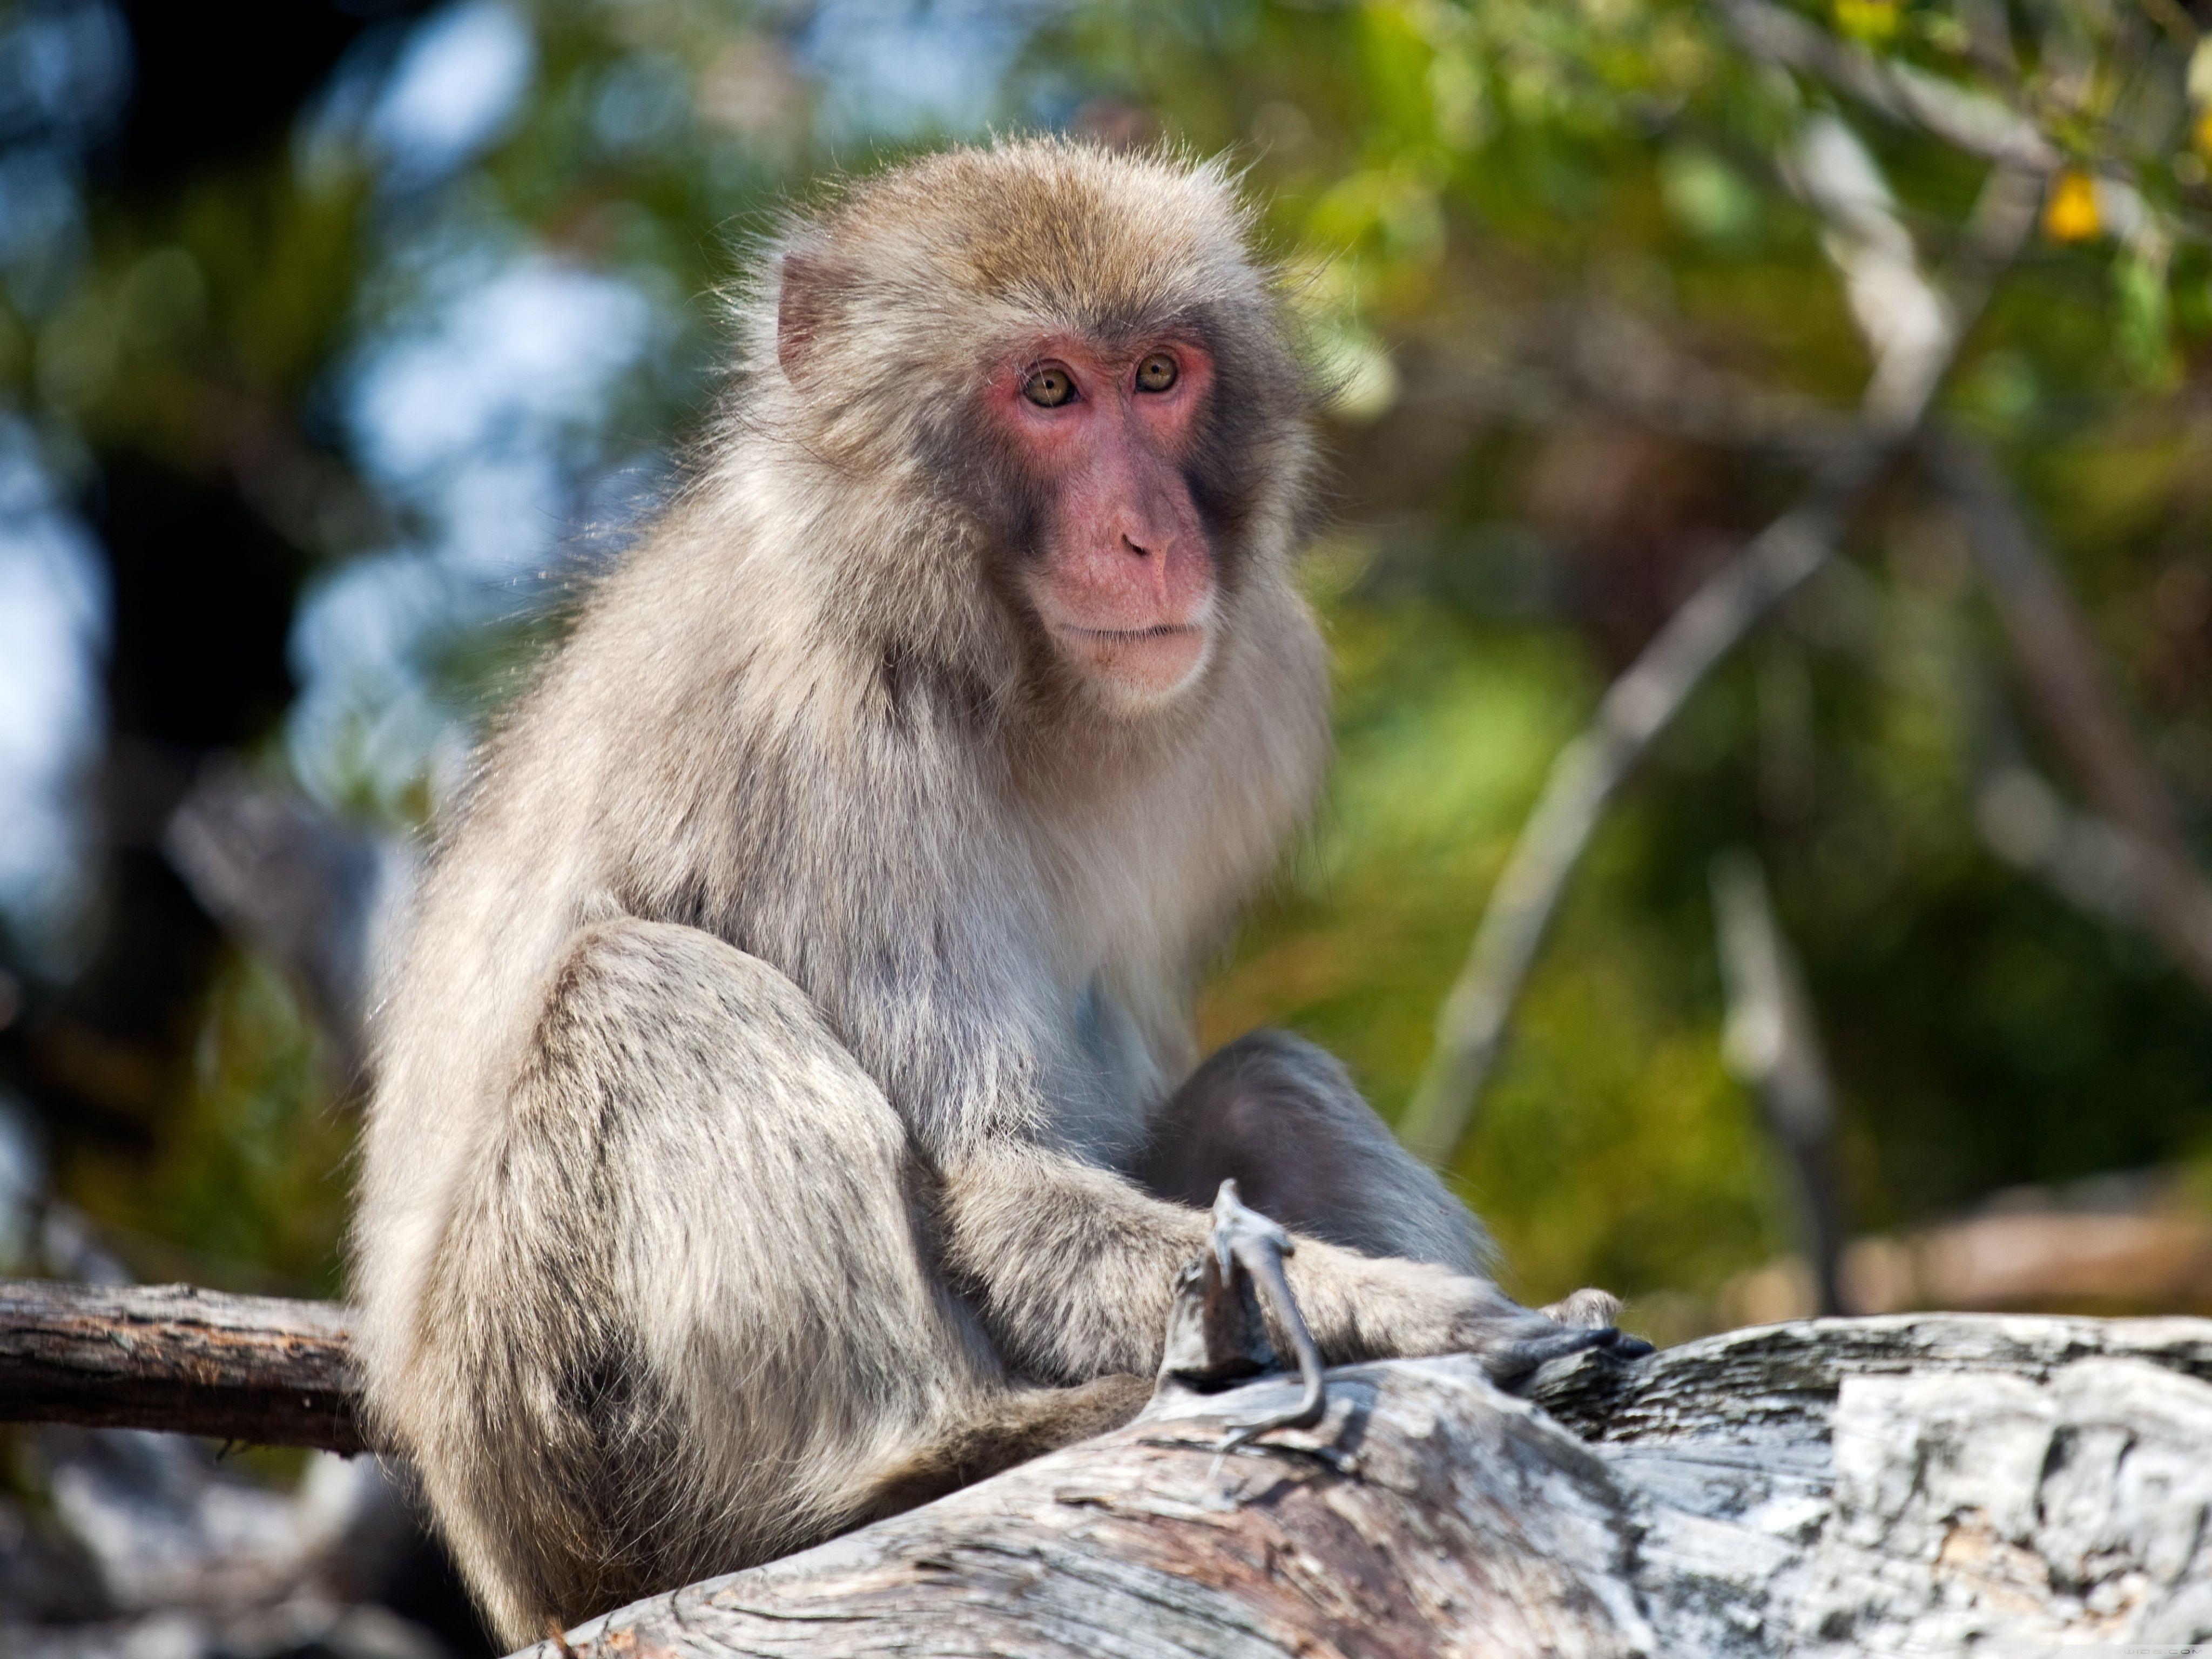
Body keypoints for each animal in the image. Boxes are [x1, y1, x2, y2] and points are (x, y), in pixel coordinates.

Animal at [352, 138, 1644, 1645]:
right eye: (1047, 392)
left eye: (1158, 375)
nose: (1149, 535)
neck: (975, 649)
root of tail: (502, 1564)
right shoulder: (830, 750)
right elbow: (997, 1182)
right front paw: (1423, 1319)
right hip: (562, 1441)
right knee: (648, 991)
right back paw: (915, 1464)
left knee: (1264, 1082)